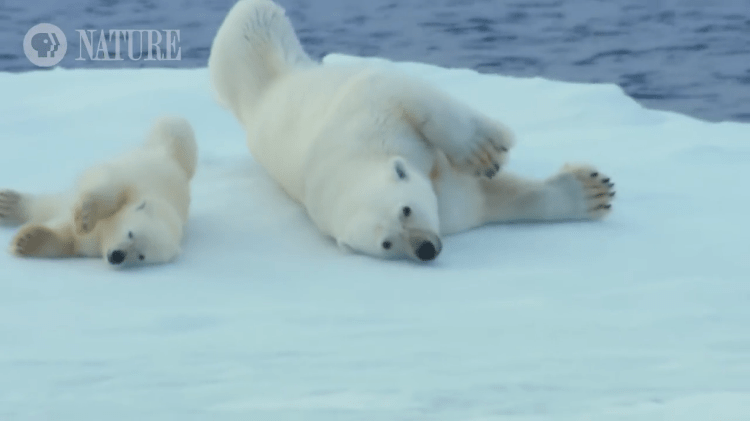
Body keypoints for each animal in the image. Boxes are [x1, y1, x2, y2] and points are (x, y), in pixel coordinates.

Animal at [0, 115, 198, 266]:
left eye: (141, 256)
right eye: (130, 233)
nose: (117, 256)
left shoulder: (93, 245)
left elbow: (67, 240)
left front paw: (27, 241)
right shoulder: (135, 184)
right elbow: (108, 189)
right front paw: (85, 219)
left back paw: (8, 204)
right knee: (174, 125)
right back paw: (9, 202)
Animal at [207, 0, 616, 260]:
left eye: (405, 210)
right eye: (387, 244)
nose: (424, 249)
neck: (352, 157)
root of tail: (256, 104)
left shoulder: (368, 111)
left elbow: (407, 95)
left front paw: (485, 150)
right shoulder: (445, 209)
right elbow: (486, 200)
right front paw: (591, 192)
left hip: (268, 50)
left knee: (253, 17)